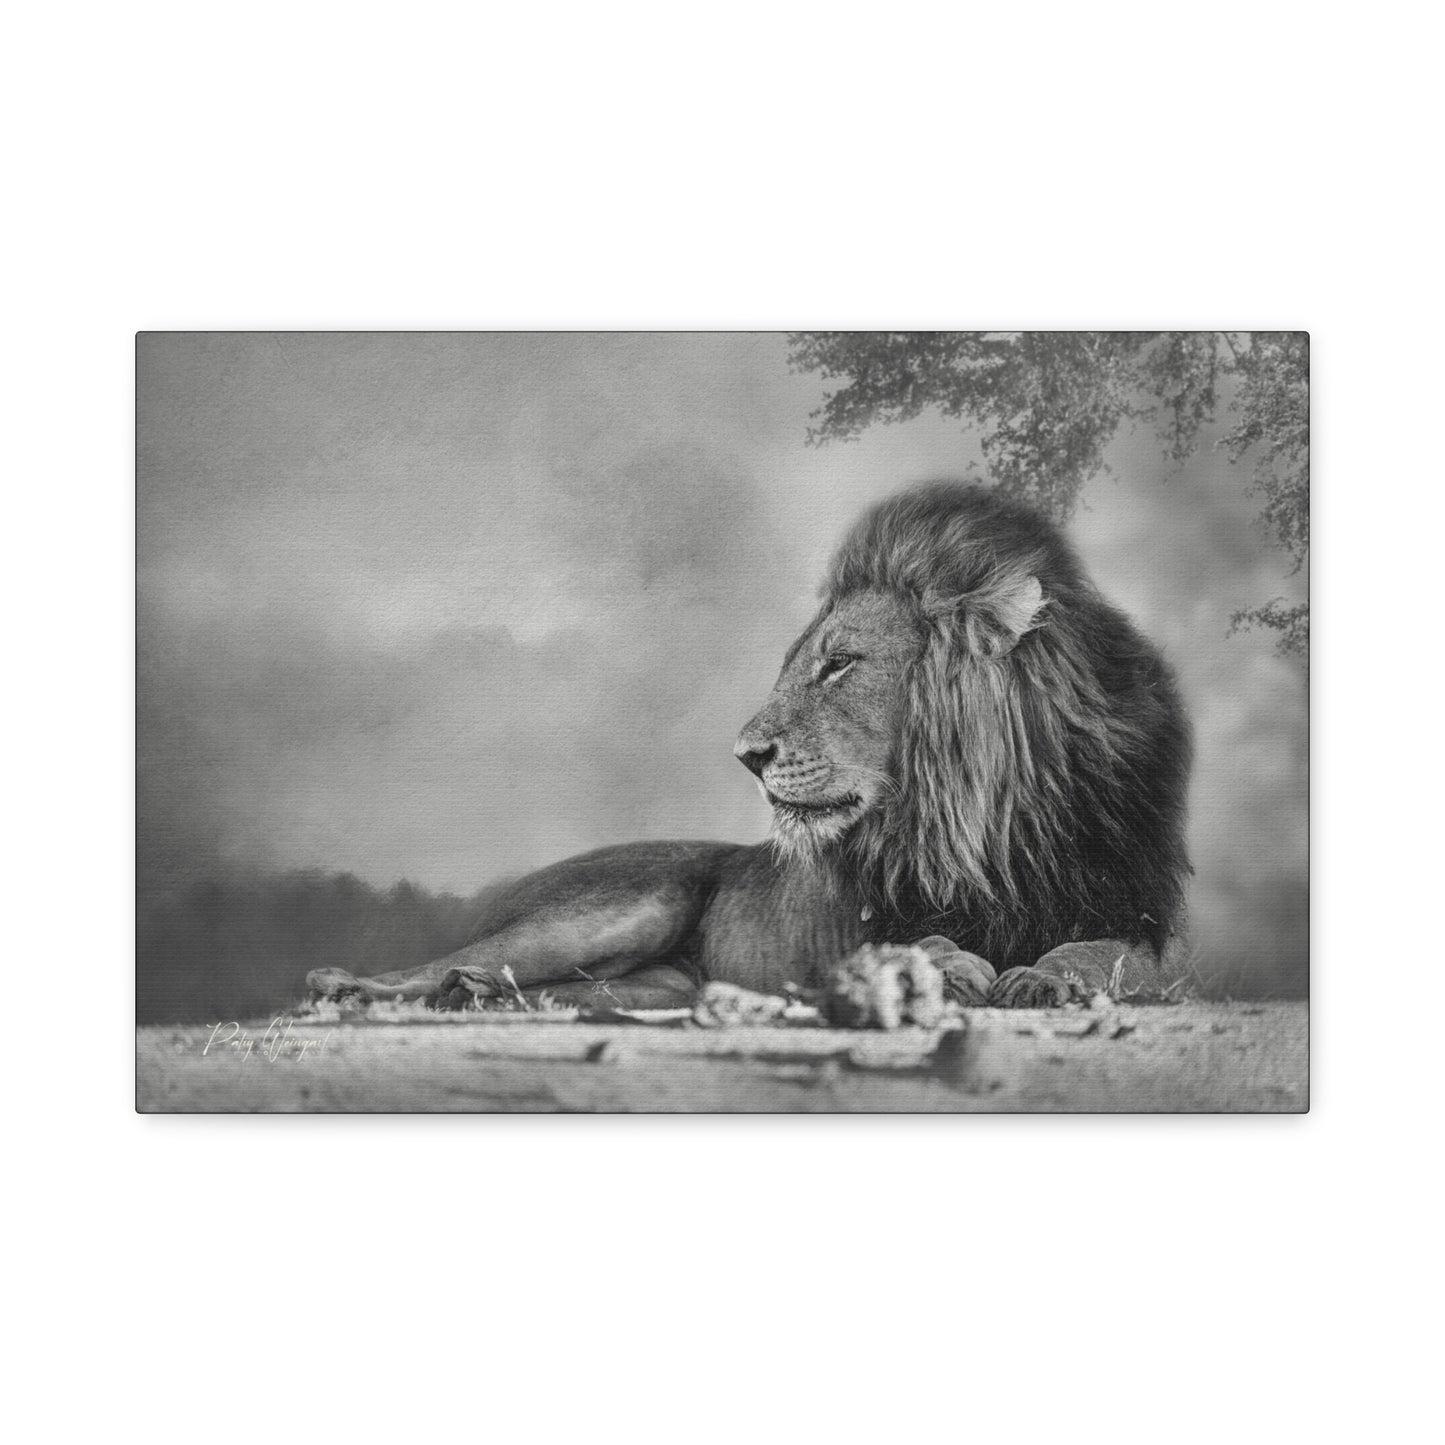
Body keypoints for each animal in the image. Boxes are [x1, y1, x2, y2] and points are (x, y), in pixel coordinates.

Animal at [307, 481, 1192, 1013]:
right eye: (803, 663)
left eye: (839, 663)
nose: (744, 755)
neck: (991, 823)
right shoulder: (866, 925)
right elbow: (921, 940)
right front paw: (952, 966)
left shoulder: (1139, 917)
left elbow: (1103, 954)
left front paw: (1041, 977)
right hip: (616, 909)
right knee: (439, 963)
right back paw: (343, 983)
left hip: (645, 985)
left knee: (543, 988)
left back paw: (475, 996)